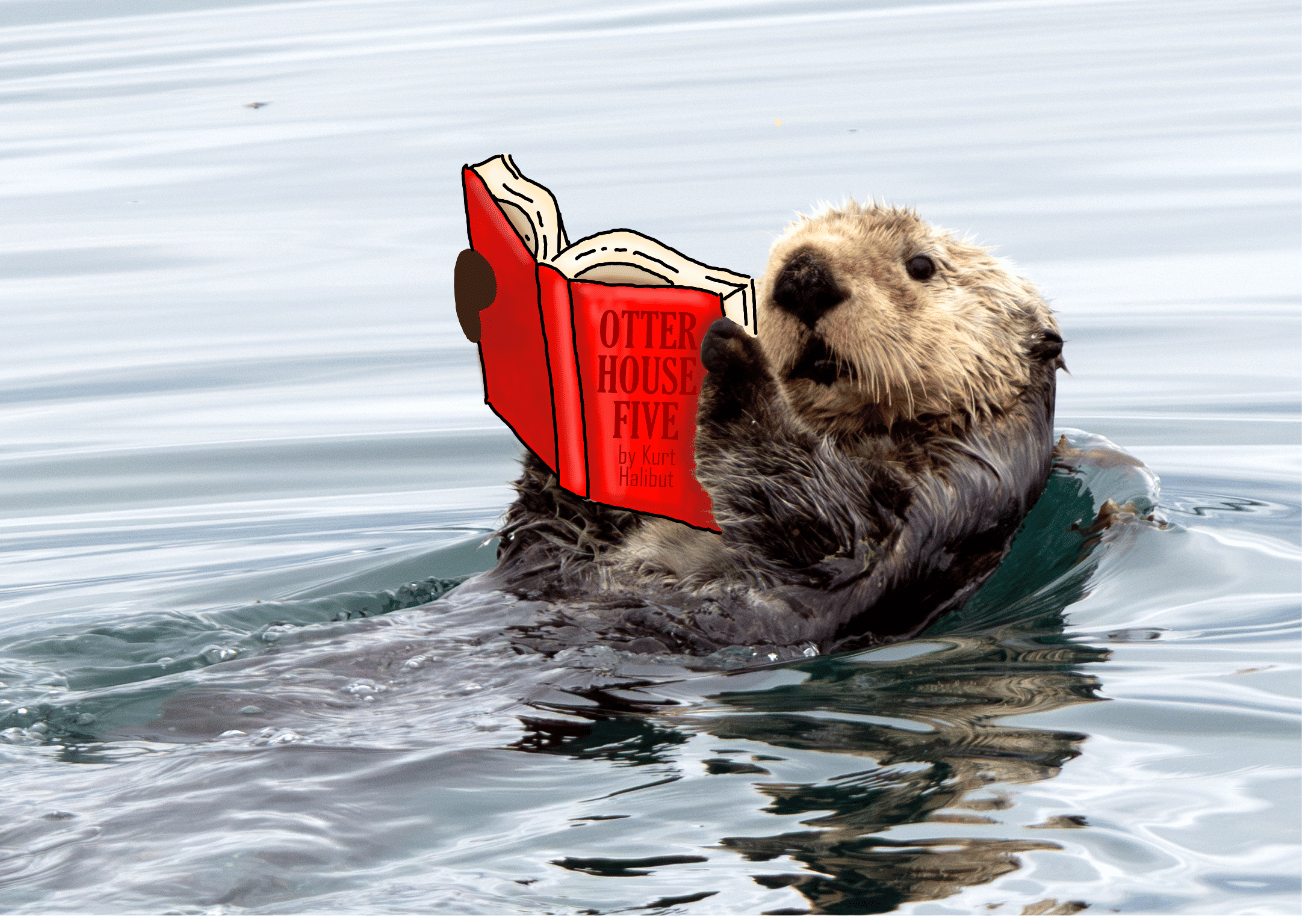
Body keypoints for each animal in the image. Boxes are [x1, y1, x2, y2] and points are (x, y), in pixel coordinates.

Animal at [477, 202, 1064, 660]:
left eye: (921, 264)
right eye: (774, 258)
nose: (803, 275)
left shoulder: (931, 501)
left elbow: (816, 512)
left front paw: (735, 354)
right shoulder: (548, 551)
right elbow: (550, 521)